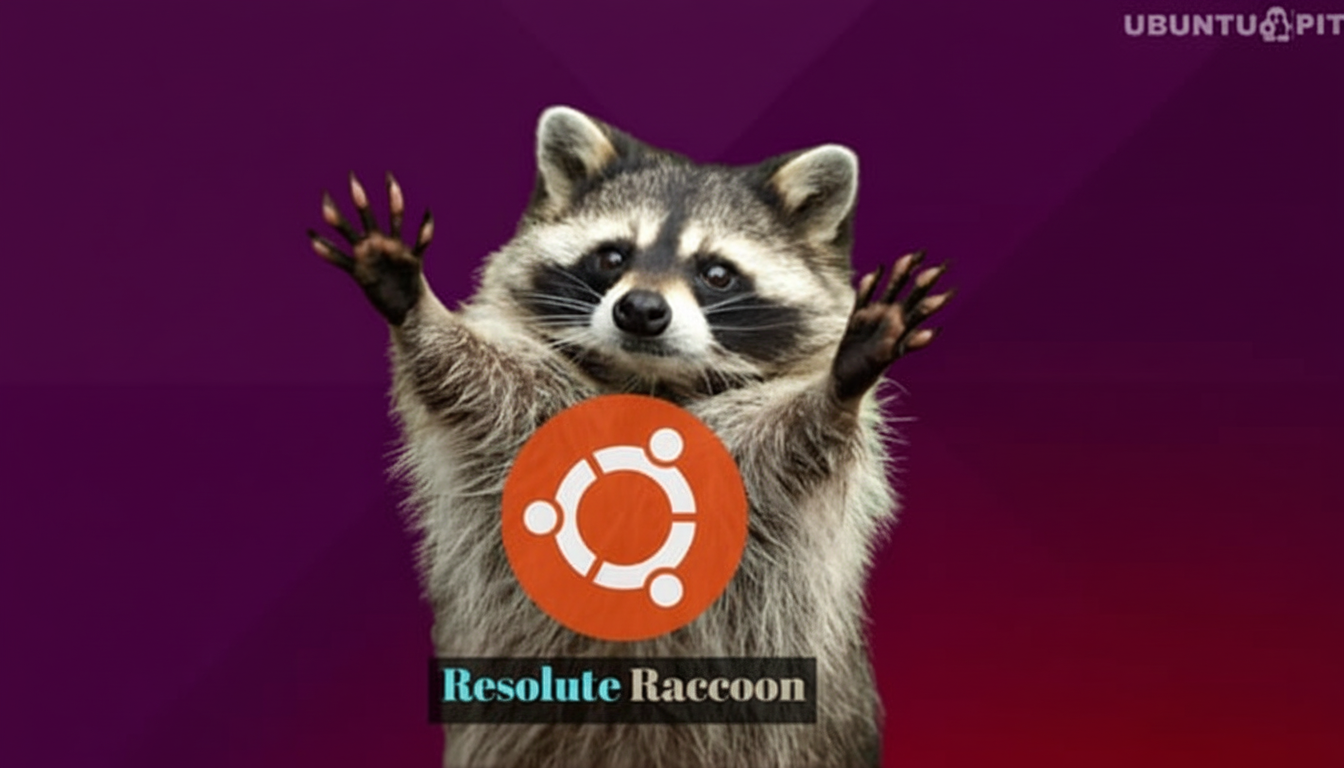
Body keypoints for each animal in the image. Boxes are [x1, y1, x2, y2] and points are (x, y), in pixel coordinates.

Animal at [308, 106, 952, 768]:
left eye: (716, 273)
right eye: (613, 257)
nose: (640, 310)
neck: (650, 382)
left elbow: (797, 440)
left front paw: (839, 387)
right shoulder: (530, 417)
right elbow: (472, 381)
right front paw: (418, 310)